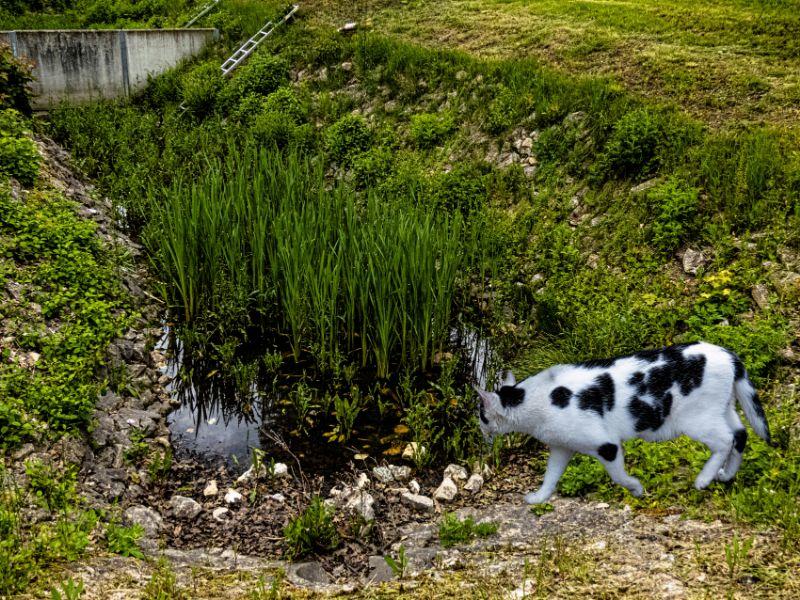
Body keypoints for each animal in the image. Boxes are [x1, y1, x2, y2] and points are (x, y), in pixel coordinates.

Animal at [476, 340, 768, 504]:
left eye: (481, 415)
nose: (480, 428)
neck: (532, 401)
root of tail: (728, 354)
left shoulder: (606, 445)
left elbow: (617, 476)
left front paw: (636, 488)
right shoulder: (561, 448)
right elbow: (551, 476)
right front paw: (538, 499)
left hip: (698, 419)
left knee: (725, 441)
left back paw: (703, 479)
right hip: (723, 408)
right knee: (740, 434)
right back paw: (727, 475)